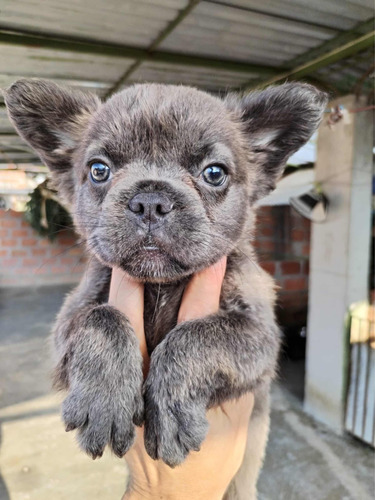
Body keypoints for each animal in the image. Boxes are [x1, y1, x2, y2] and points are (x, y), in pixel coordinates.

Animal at [5, 80, 328, 498]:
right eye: (98, 170)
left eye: (214, 173)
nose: (150, 201)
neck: (161, 285)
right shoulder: (71, 317)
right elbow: (102, 318)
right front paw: (104, 400)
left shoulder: (257, 335)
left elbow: (197, 336)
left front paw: (169, 409)